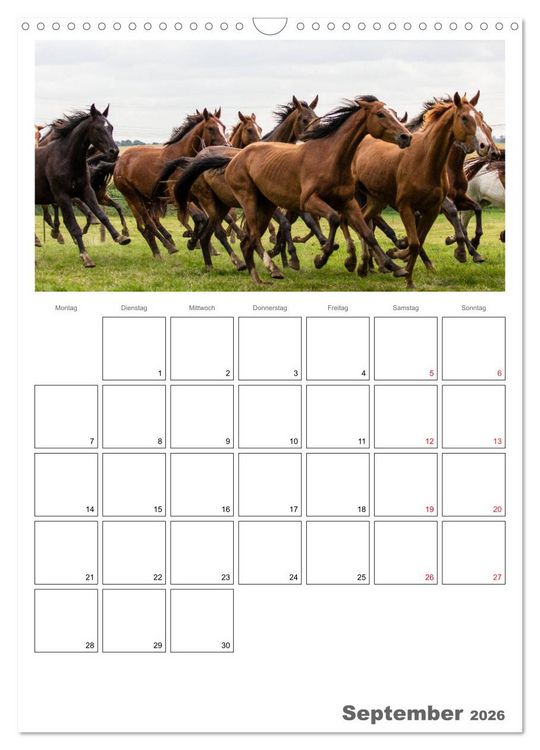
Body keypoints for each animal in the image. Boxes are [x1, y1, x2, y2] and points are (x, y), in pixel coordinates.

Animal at [35, 105, 130, 268]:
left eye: (110, 127)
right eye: (98, 128)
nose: (114, 151)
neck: (66, 159)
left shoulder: (86, 191)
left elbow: (101, 215)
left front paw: (120, 236)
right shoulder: (63, 196)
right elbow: (74, 225)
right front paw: (85, 256)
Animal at [113, 108, 228, 258]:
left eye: (224, 127)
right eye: (211, 128)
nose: (227, 146)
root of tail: (119, 162)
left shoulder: (195, 197)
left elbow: (205, 218)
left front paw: (205, 246)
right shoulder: (177, 197)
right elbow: (198, 217)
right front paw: (192, 241)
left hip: (146, 198)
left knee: (148, 224)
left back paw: (157, 251)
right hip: (132, 196)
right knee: (149, 222)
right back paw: (169, 247)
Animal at [171, 96, 411, 285]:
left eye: (394, 114)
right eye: (381, 114)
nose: (406, 136)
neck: (331, 157)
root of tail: (232, 158)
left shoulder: (347, 202)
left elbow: (367, 233)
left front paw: (392, 265)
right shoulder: (308, 201)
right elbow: (332, 219)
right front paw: (322, 258)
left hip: (246, 206)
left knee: (225, 235)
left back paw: (216, 262)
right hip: (244, 202)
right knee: (243, 235)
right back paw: (263, 268)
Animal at [352, 92, 480, 288]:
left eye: (480, 116)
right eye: (464, 118)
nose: (482, 146)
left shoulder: (441, 205)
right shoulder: (415, 205)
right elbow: (418, 239)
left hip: (376, 199)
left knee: (365, 222)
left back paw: (369, 265)